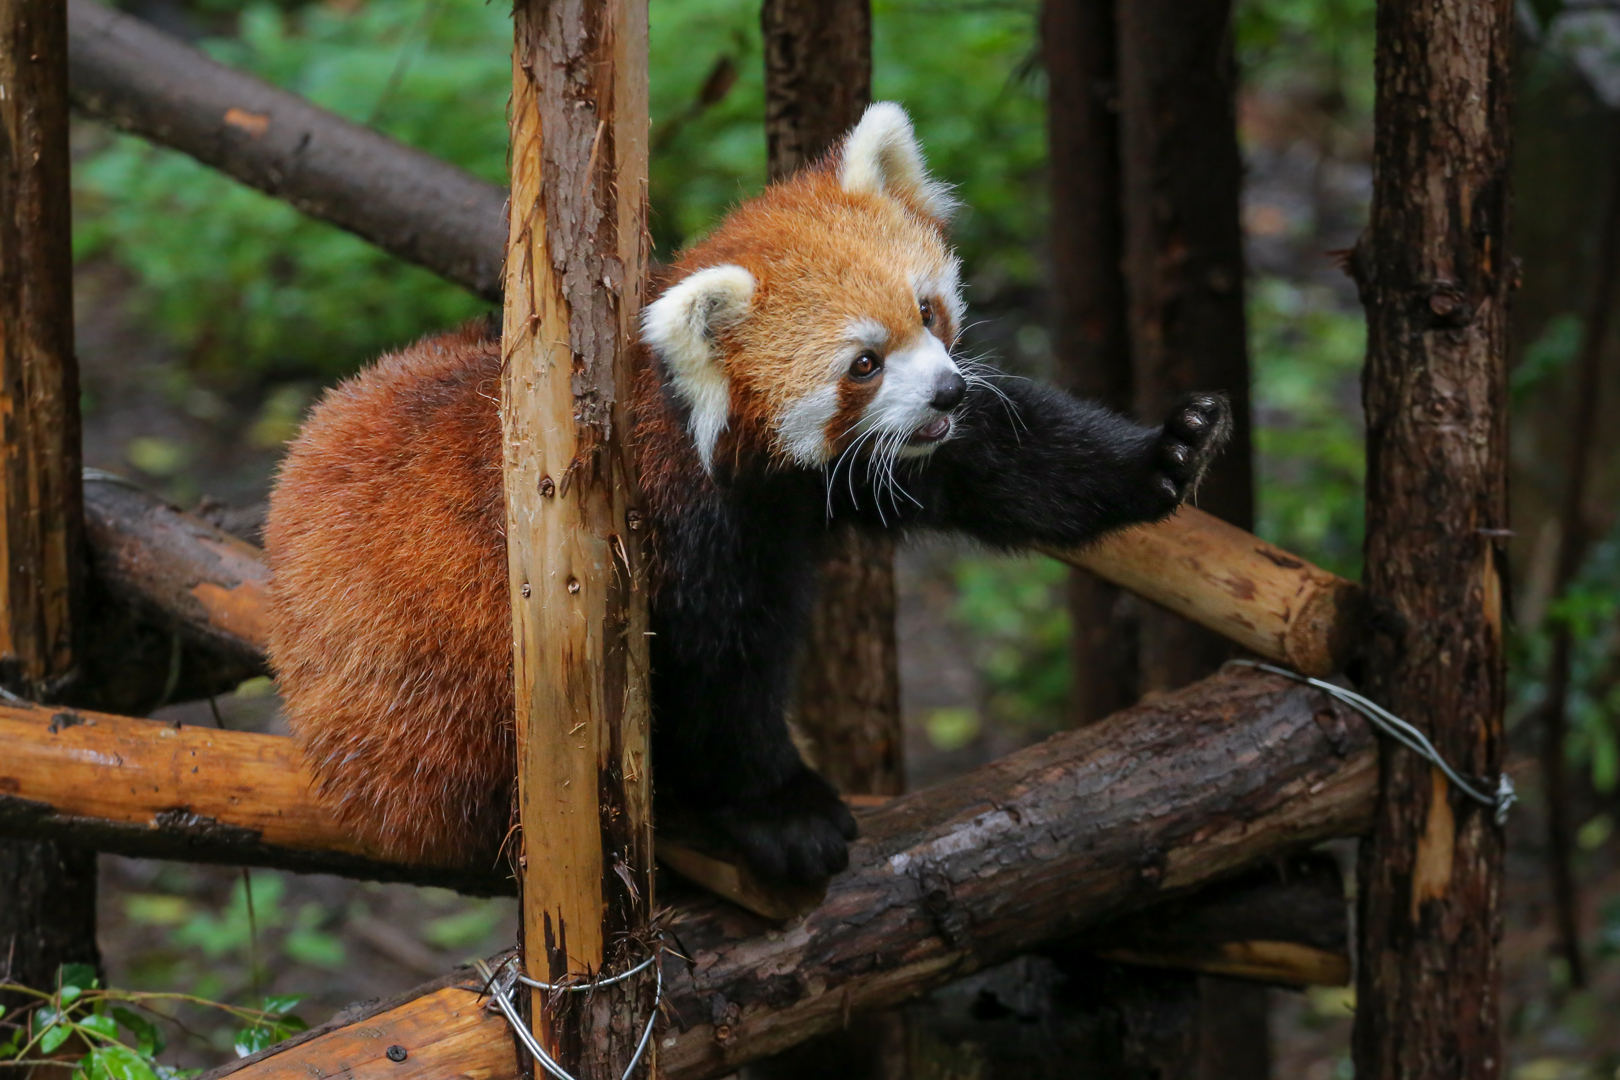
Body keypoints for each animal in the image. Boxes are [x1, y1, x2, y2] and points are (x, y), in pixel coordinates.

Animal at [264, 103, 1230, 885]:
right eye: (863, 364)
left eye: (928, 312)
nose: (949, 392)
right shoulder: (675, 535)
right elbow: (720, 679)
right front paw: (783, 811)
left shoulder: (849, 471)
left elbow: (1000, 461)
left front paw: (1169, 452)